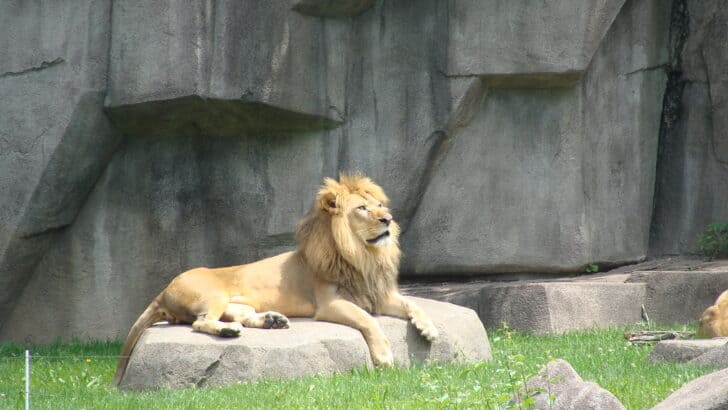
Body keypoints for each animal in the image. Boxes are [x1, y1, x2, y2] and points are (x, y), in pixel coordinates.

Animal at [112, 174, 438, 386]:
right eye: (362, 208)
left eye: (380, 206)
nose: (388, 220)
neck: (363, 255)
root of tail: (163, 290)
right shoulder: (330, 303)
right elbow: (368, 320)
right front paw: (384, 356)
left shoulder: (379, 295)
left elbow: (414, 305)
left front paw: (429, 329)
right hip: (212, 293)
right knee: (200, 323)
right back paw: (229, 332)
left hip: (238, 303)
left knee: (238, 316)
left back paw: (272, 321)